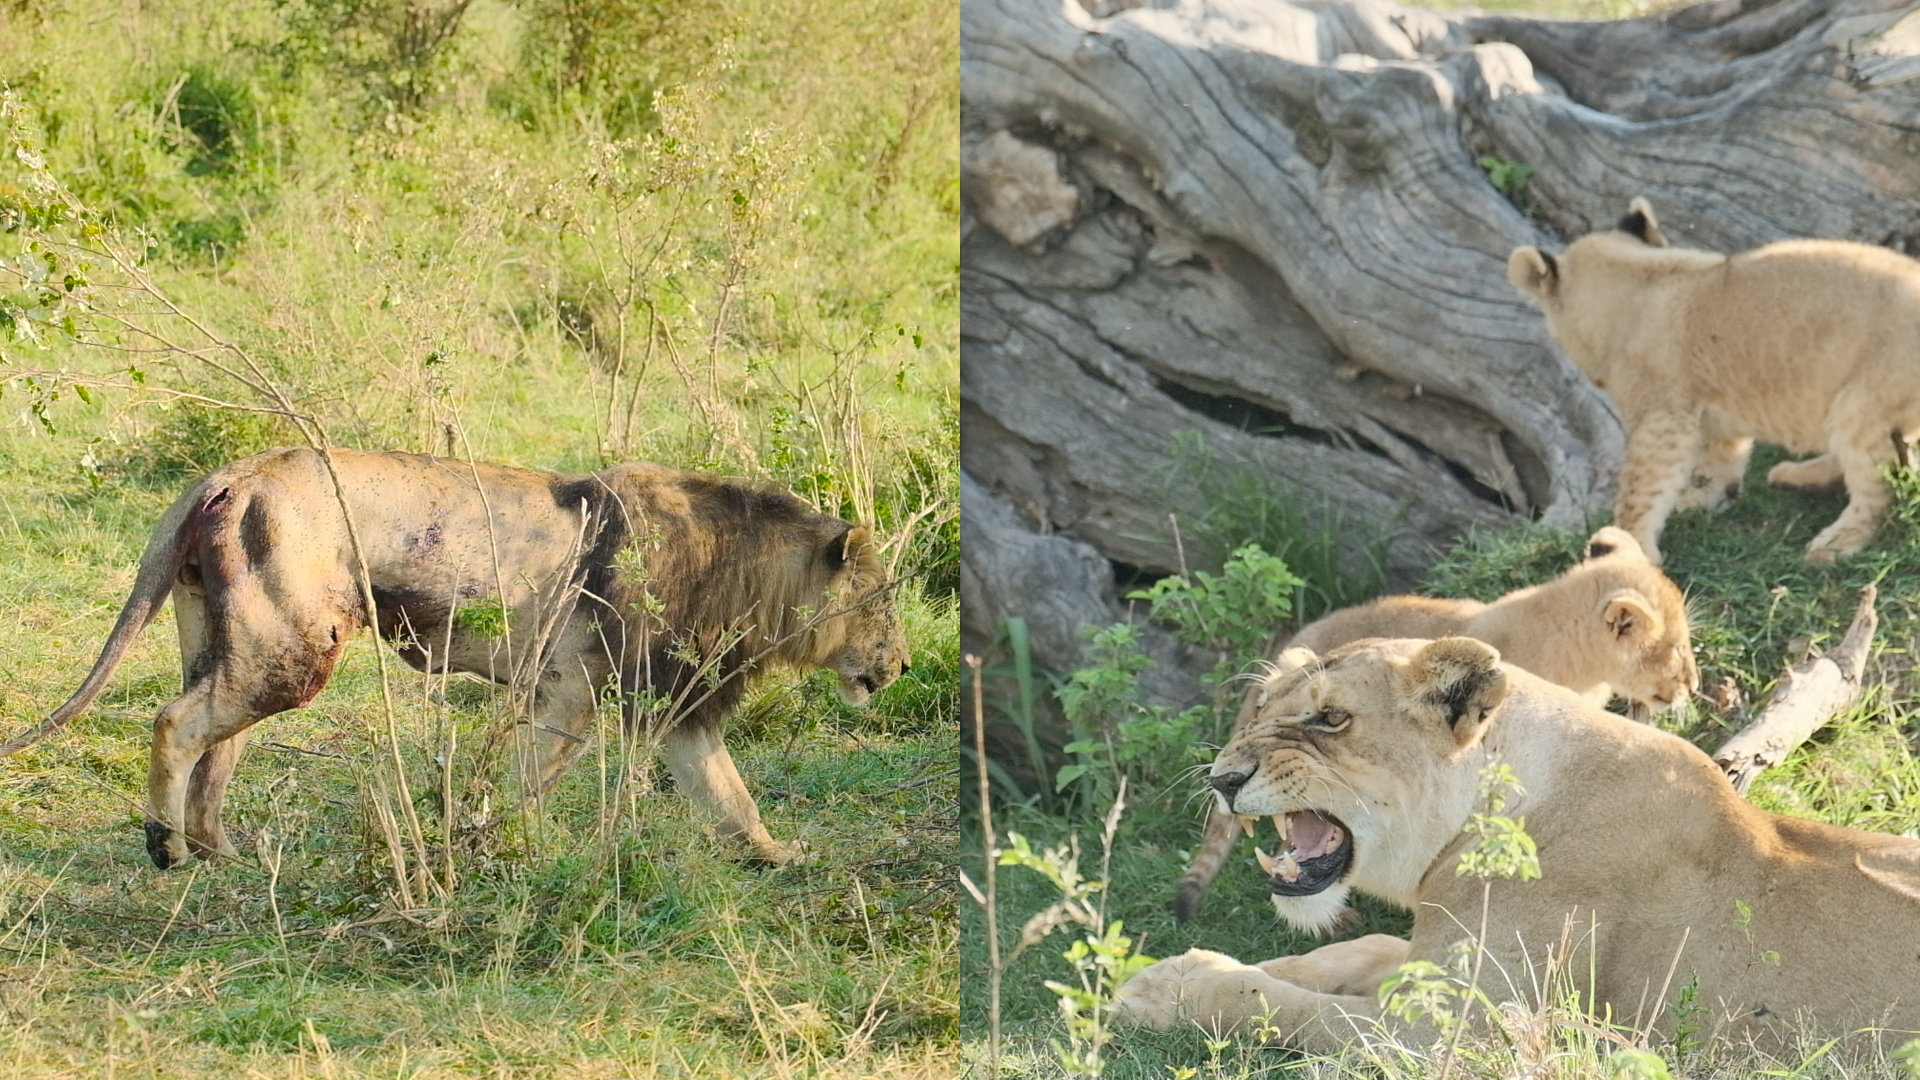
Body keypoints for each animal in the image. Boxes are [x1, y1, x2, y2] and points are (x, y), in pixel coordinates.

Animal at [0, 448, 910, 870]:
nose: (900, 667)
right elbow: (530, 784)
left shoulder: (676, 708)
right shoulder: (568, 693)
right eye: (883, 602)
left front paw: (778, 855)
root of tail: (232, 471)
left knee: (216, 747)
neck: (742, 569)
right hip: (286, 649)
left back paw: (225, 853)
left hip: (236, 639)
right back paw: (168, 849)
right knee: (176, 723)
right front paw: (511, 848)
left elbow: (729, 795)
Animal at [1117, 637, 1920, 1051]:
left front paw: (1172, 989)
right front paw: (1167, 966)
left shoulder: (1453, 1036)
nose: (1222, 778)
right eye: (1260, 715)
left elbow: (1283, 1006)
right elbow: (1354, 951)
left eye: (1330, 718)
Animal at [1509, 197, 1920, 565]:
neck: (1634, 285)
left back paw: (1833, 544)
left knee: (1880, 487)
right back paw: (1796, 476)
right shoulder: (1712, 403)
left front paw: (1627, 543)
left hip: (1862, 400)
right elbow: (1719, 458)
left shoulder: (1662, 413)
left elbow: (1642, 485)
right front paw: (1704, 500)